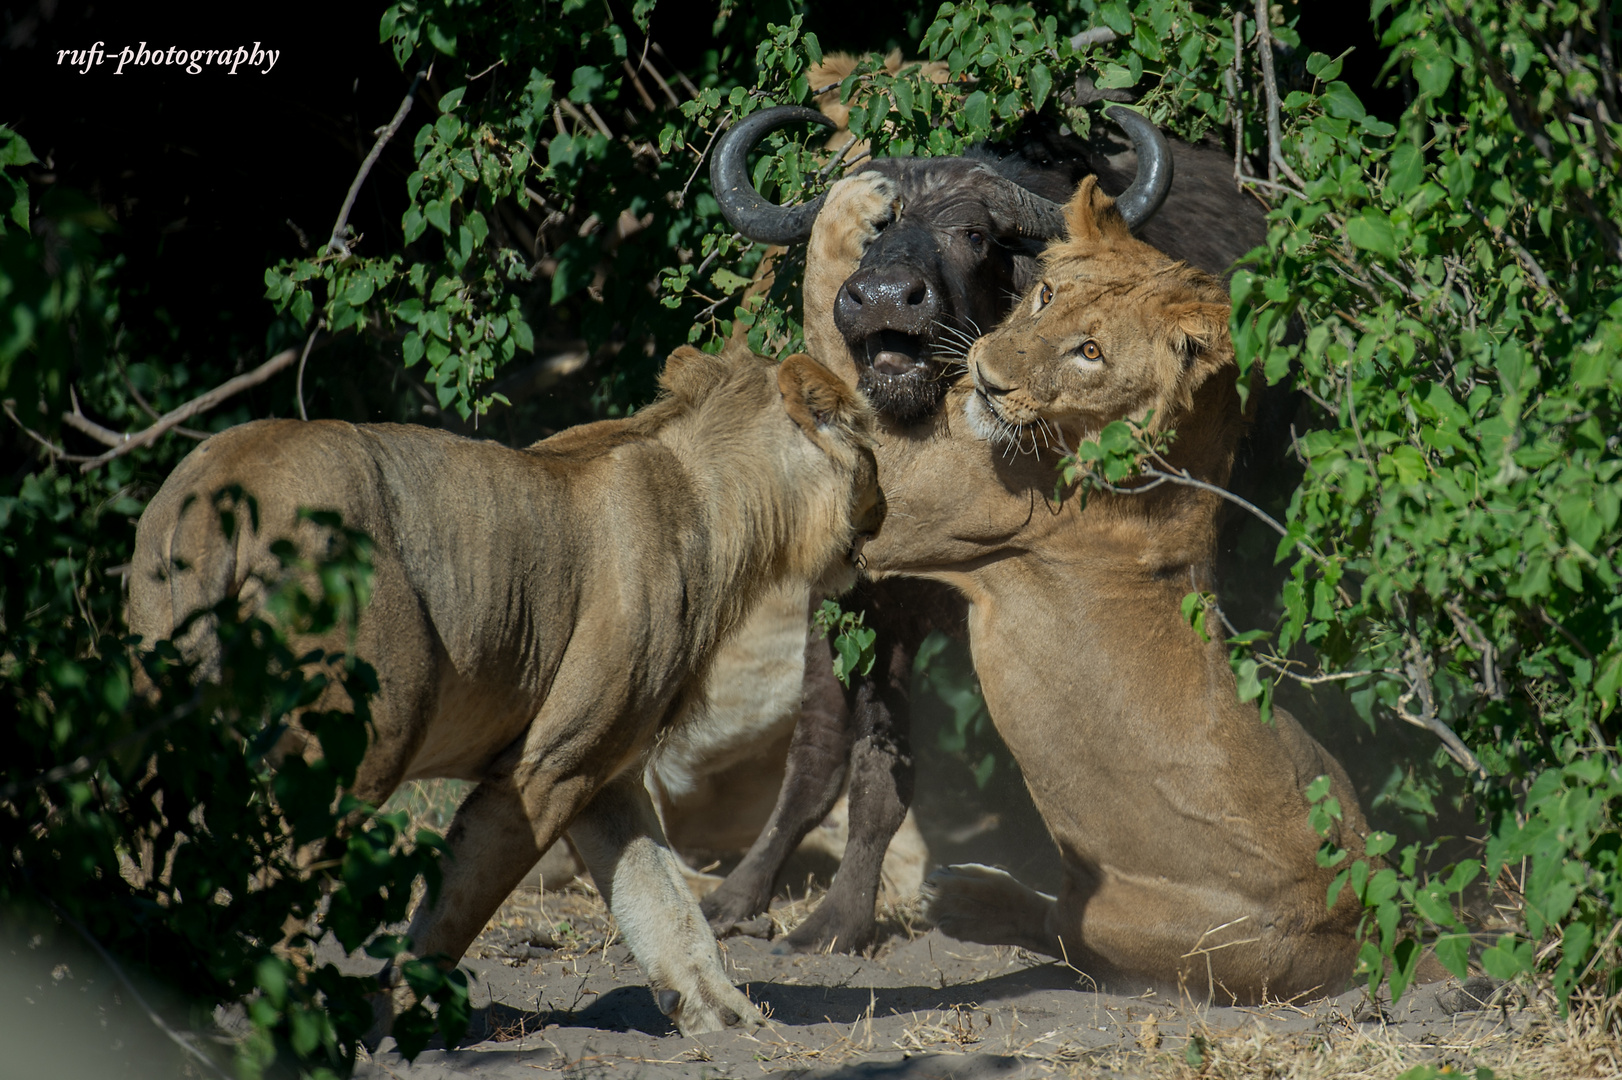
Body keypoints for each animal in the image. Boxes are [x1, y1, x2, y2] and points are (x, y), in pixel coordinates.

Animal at [126, 345, 888, 1037]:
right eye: (869, 445)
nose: (885, 507)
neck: (718, 503)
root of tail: (226, 479)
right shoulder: (545, 770)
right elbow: (450, 914)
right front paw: (393, 1022)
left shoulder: (604, 771)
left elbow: (665, 903)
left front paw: (725, 1017)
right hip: (368, 741)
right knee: (272, 884)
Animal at [856, 172, 1375, 998]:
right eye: (1044, 297)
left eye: (1091, 352)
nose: (987, 378)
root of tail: (1359, 936)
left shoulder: (915, 507)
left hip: (1125, 923)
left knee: (1066, 938)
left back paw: (967, 899)